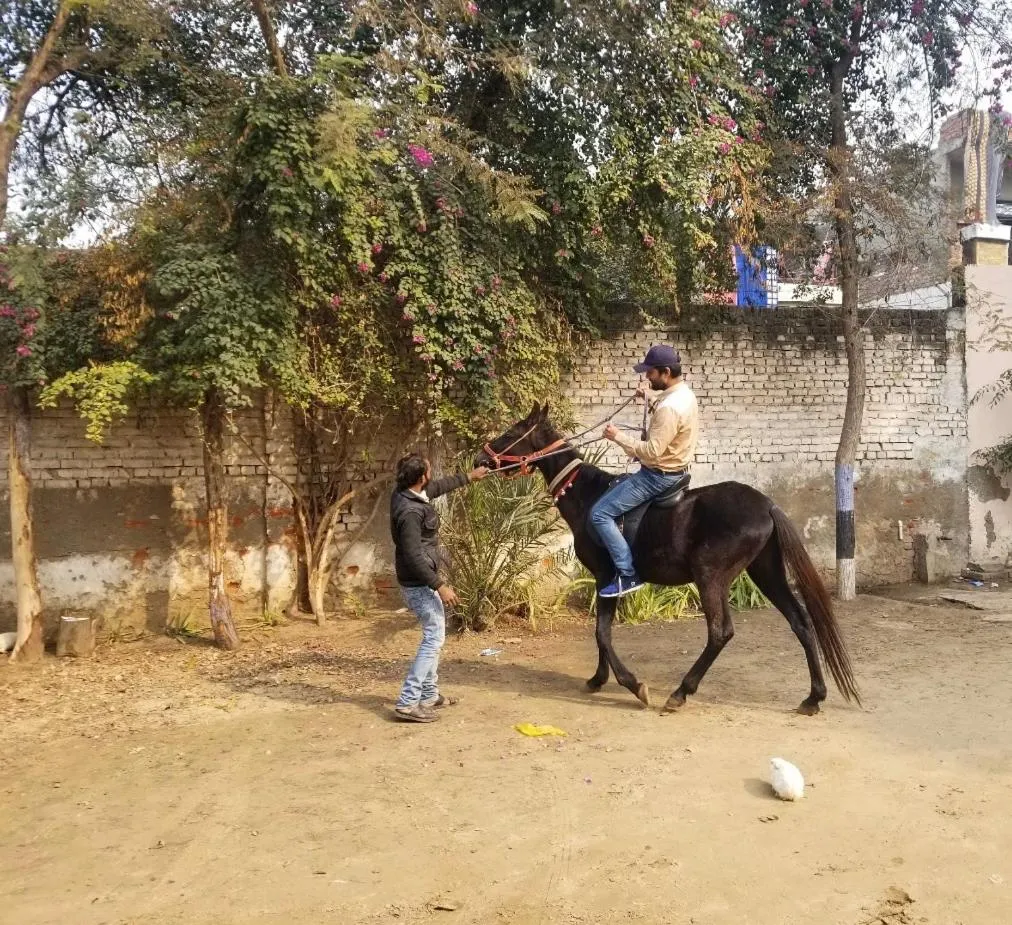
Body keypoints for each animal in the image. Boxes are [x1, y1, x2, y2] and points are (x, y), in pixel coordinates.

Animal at [476, 402, 860, 715]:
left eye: (512, 432)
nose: (480, 460)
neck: (588, 495)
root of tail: (766, 504)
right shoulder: (604, 583)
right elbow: (601, 632)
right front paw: (597, 679)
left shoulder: (606, 576)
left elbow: (602, 633)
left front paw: (633, 685)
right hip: (766, 572)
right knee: (801, 622)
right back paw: (813, 697)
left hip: (711, 576)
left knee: (720, 632)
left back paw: (681, 692)